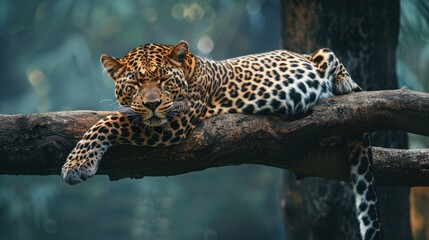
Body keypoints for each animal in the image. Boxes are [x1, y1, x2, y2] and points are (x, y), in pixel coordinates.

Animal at [60, 40, 382, 239]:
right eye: (136, 84)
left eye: (164, 81)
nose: (152, 103)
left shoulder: (176, 120)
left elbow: (109, 122)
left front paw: (76, 164)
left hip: (322, 54)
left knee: (337, 66)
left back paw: (342, 84)